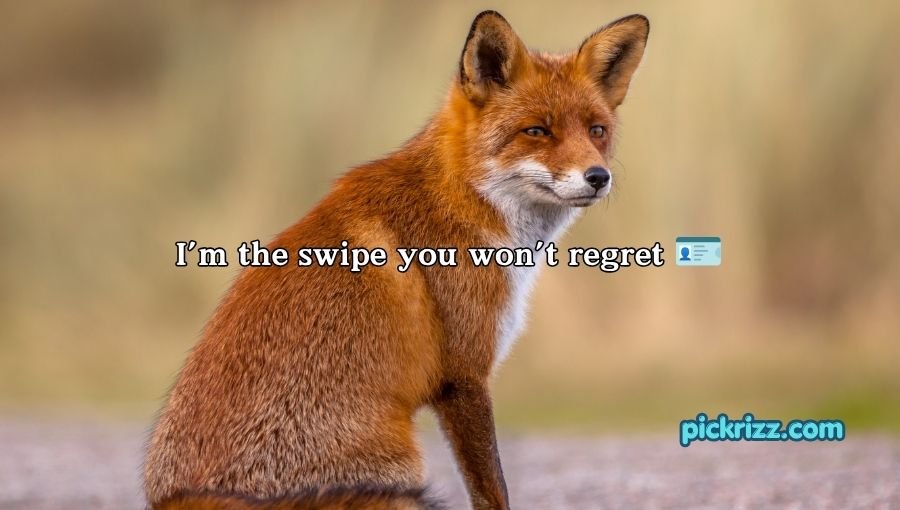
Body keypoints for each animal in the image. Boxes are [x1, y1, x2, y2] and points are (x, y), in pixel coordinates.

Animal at [144, 10, 649, 510]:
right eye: (537, 131)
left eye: (597, 131)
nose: (598, 177)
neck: (464, 200)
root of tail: (181, 498)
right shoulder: (463, 376)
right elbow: (493, 489)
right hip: (402, 464)